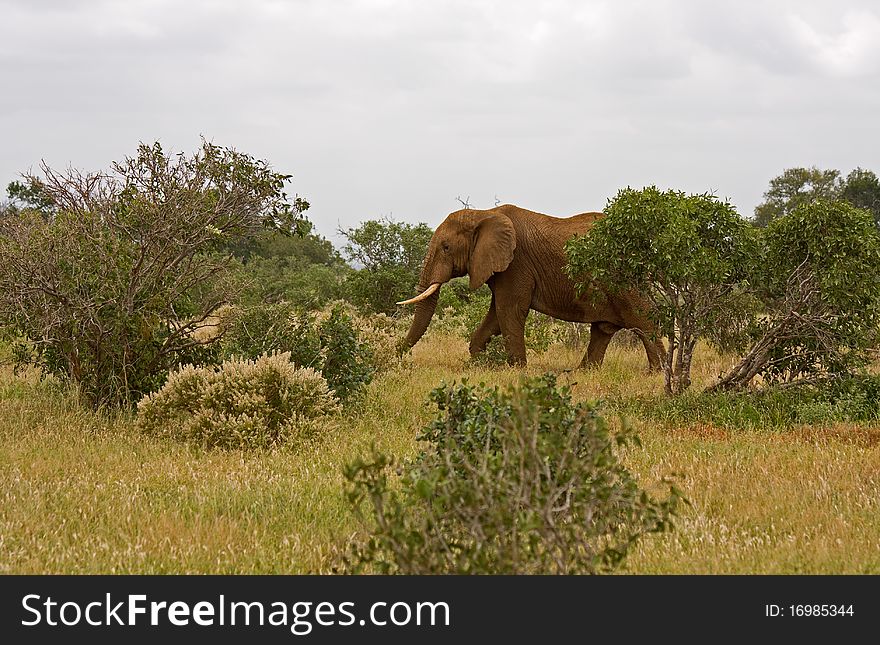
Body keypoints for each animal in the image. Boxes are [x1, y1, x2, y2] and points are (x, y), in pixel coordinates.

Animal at [396, 204, 664, 370]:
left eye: (446, 248)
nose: (397, 355)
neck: (485, 213)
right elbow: (496, 316)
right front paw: (478, 363)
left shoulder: (517, 264)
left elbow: (509, 311)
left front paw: (517, 369)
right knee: (602, 330)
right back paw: (583, 372)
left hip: (624, 280)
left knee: (643, 321)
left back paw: (655, 373)